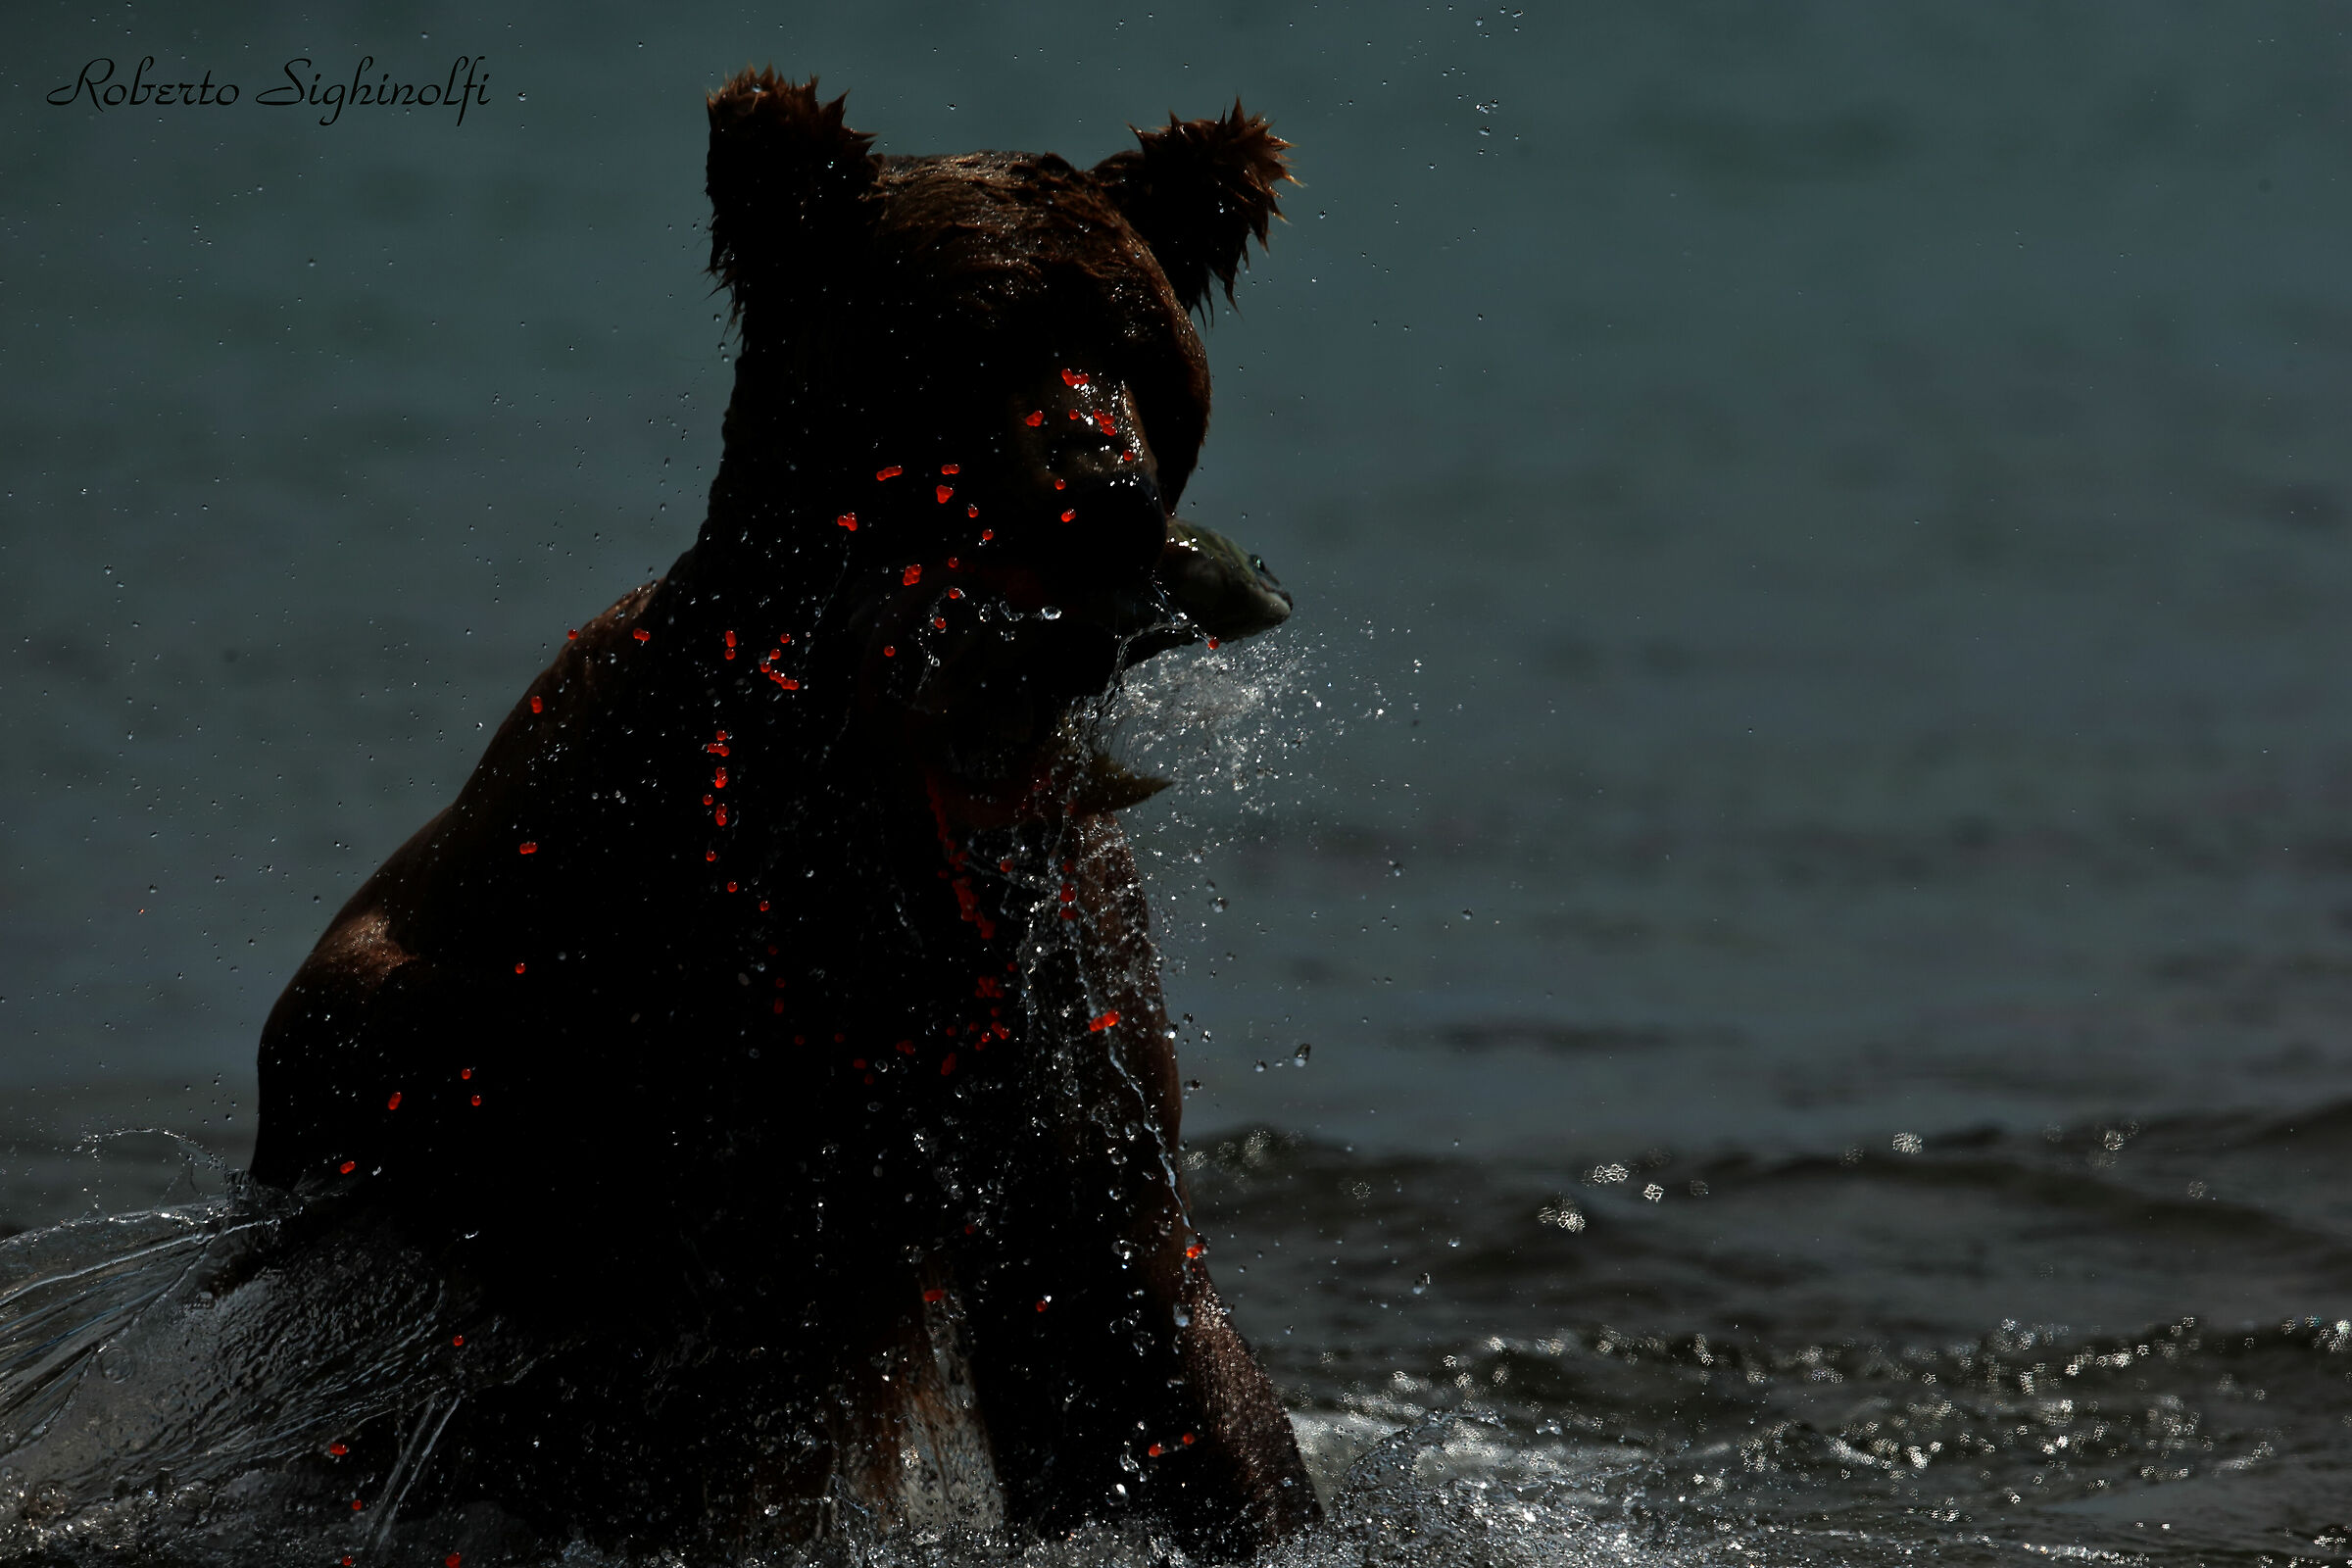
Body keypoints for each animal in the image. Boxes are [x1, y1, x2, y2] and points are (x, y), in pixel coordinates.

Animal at [244, 70, 1316, 1559]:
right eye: (978, 339)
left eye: (1133, 343)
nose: (1105, 487)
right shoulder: (607, 871)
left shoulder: (1062, 978)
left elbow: (1129, 1322)